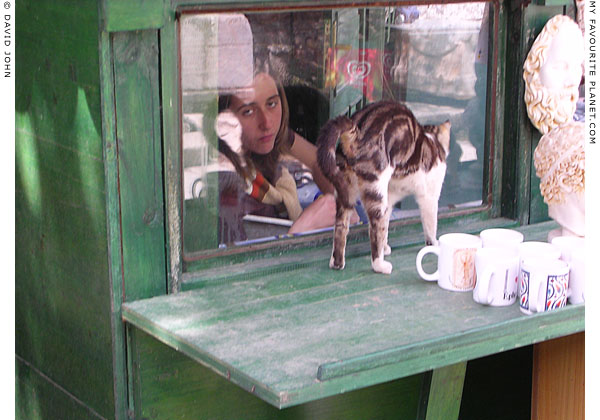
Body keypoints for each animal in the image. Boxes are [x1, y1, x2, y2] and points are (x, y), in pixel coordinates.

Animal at [316, 100, 452, 274]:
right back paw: (380, 265)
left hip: (346, 191)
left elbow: (385, 226)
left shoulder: (390, 198)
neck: (433, 141)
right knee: (374, 229)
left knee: (341, 227)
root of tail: (356, 131)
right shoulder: (429, 196)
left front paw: (385, 247)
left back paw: (338, 262)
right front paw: (434, 243)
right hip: (375, 190)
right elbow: (430, 225)